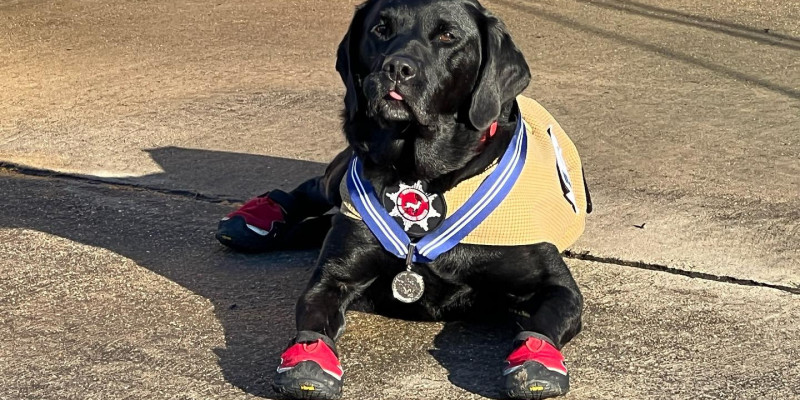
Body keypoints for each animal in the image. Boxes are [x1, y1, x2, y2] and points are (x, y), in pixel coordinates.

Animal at [268, 0, 588, 400]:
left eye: (448, 35)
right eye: (381, 29)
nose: (396, 68)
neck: (420, 174)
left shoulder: (556, 285)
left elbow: (545, 322)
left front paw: (535, 360)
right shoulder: (333, 276)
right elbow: (313, 318)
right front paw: (308, 360)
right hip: (336, 178)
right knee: (314, 186)